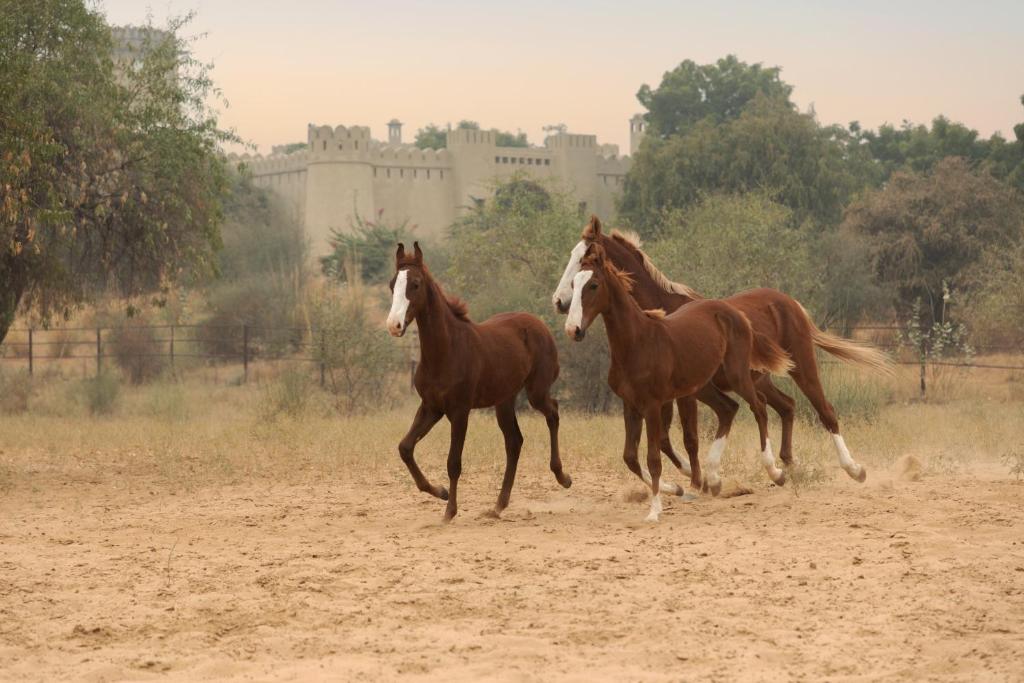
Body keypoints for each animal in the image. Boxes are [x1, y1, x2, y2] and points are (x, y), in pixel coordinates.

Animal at [387, 242, 572, 522]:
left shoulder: (459, 411)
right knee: (514, 441)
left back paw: (562, 477)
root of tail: (539, 324)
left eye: (415, 284)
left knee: (553, 412)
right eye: (392, 284)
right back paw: (498, 505)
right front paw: (440, 492)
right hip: (504, 401)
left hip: (536, 392)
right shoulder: (431, 407)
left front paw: (449, 512)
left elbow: (453, 463)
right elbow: (405, 448)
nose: (394, 325)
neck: (446, 350)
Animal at [553, 216, 892, 493]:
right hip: (759, 379)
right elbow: (666, 440)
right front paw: (694, 477)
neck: (661, 313)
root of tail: (791, 303)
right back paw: (789, 466)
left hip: (801, 367)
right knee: (787, 407)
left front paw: (697, 480)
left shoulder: (684, 394)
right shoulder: (670, 394)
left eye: (583, 258)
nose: (559, 301)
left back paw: (853, 469)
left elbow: (687, 437)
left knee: (825, 411)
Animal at [565, 242, 793, 522]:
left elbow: (653, 458)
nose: (573, 329)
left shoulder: (652, 405)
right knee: (730, 409)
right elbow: (630, 457)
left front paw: (654, 511)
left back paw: (776, 473)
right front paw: (676, 488)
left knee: (758, 407)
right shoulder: (630, 405)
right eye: (574, 284)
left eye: (594, 285)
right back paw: (714, 479)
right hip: (704, 386)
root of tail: (736, 312)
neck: (638, 342)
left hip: (736, 375)